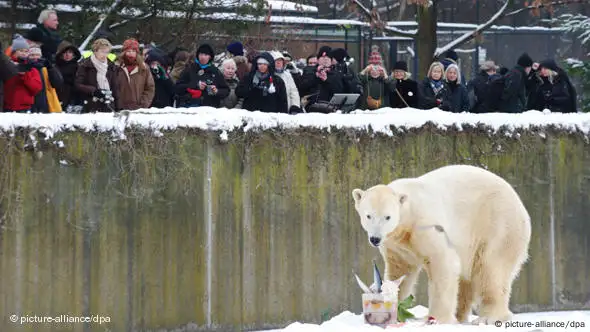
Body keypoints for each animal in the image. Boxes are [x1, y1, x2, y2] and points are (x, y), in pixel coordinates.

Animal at [354, 165, 536, 326]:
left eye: (388, 217)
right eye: (368, 215)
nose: (375, 239)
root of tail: (521, 205)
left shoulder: (425, 225)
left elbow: (442, 262)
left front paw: (436, 319)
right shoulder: (396, 245)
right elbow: (400, 270)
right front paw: (393, 306)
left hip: (498, 224)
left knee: (491, 269)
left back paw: (489, 317)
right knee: (468, 278)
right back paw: (460, 315)